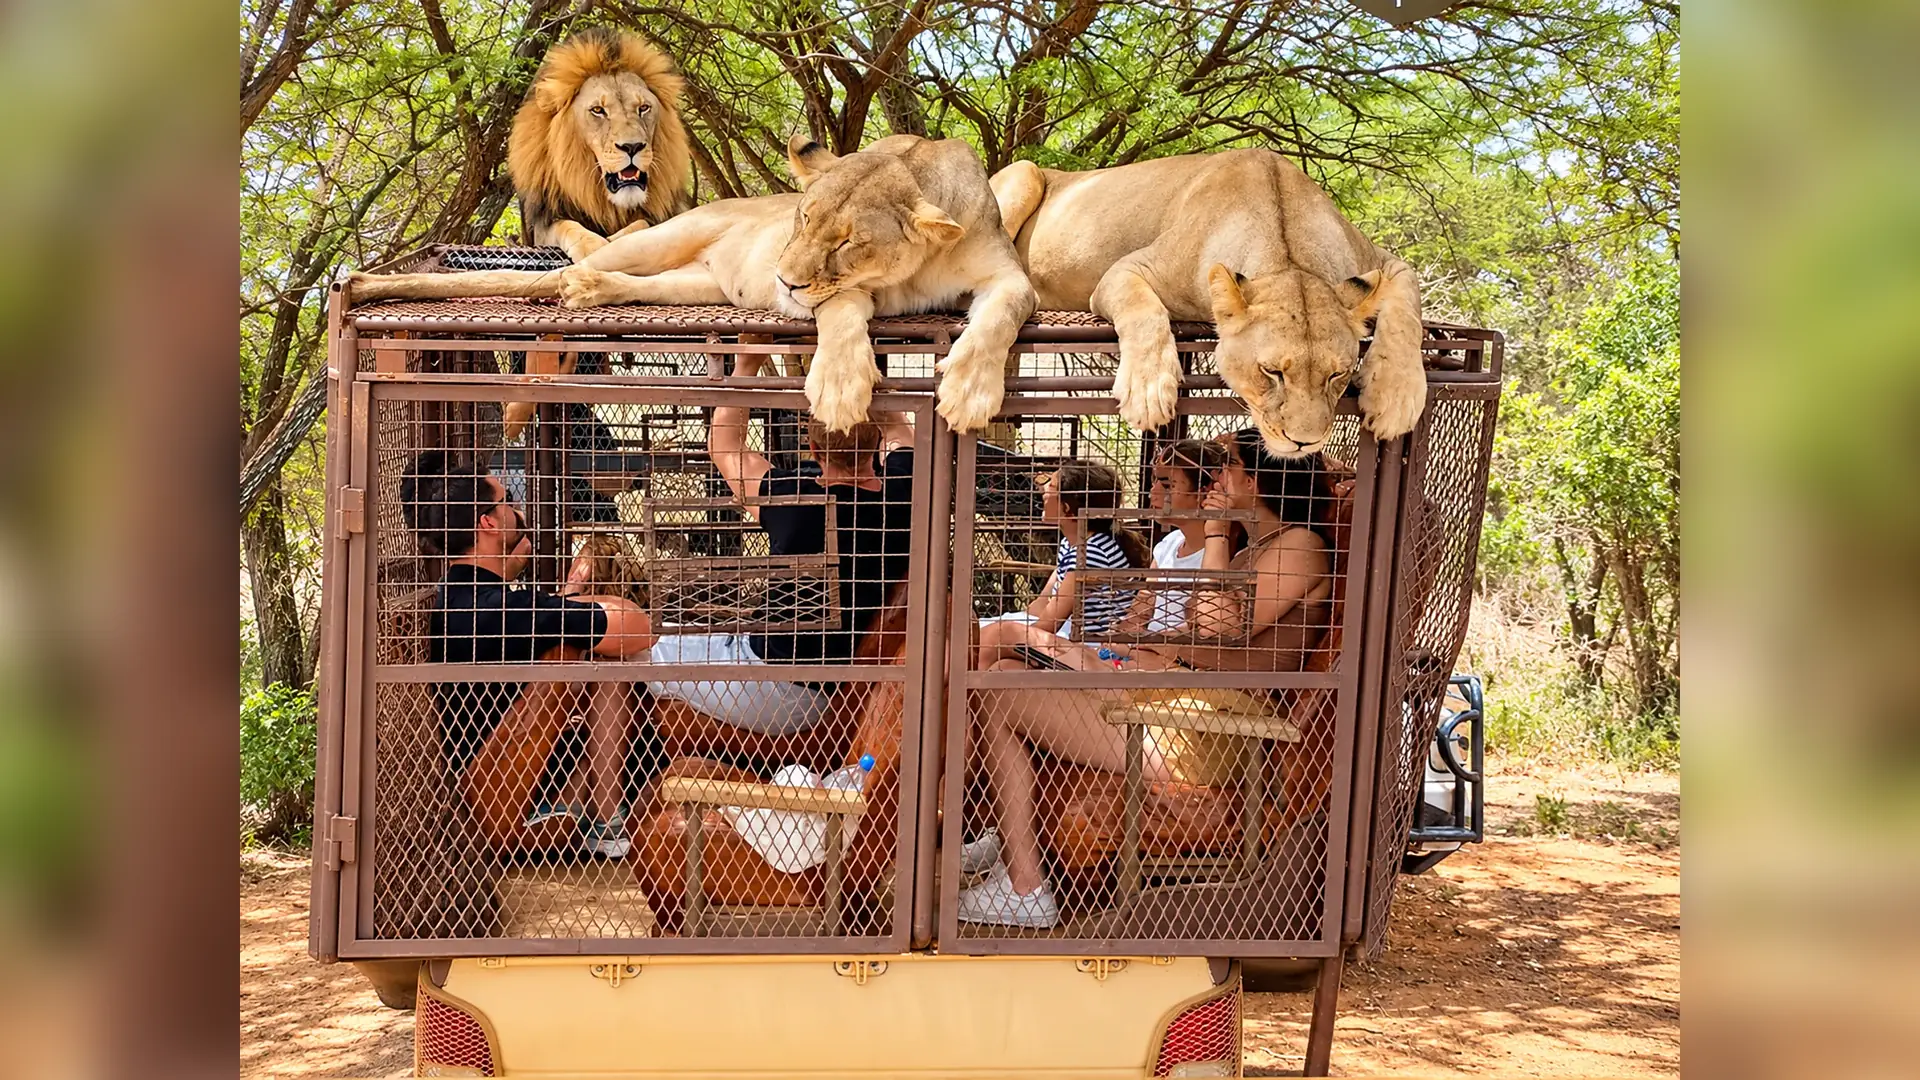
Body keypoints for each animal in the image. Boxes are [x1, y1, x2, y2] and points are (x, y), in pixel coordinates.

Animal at [351, 134, 1036, 434]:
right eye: (803, 217)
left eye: (847, 242)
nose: (783, 280)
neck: (915, 269)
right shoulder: (852, 295)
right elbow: (842, 314)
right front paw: (842, 387)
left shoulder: (1006, 274)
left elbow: (1002, 314)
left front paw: (970, 391)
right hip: (665, 237)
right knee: (566, 266)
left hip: (690, 285)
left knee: (603, 277)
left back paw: (592, 293)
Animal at [508, 26, 693, 261]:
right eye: (598, 110)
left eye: (643, 108)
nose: (632, 147)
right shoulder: (543, 223)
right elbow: (566, 225)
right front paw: (592, 246)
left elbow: (645, 223)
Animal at [991, 148, 1426, 453]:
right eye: (1271, 372)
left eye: (1337, 374)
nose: (1304, 442)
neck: (1287, 249)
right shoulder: (1123, 272)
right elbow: (1144, 312)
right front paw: (1148, 392)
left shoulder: (1385, 262)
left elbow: (1410, 313)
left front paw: (1395, 398)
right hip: (1024, 172)